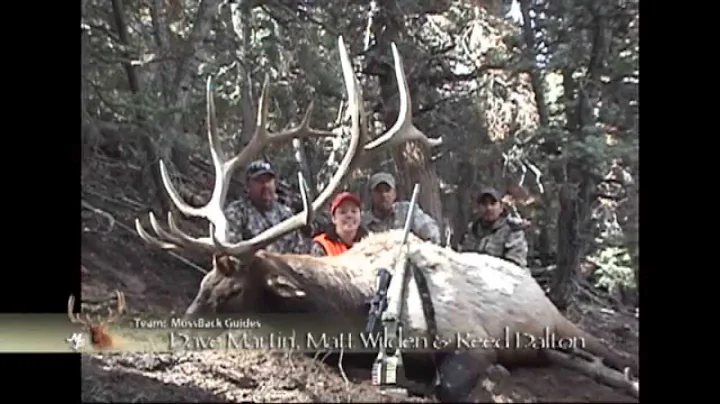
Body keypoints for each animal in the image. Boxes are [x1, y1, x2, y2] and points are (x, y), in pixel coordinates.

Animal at [134, 36, 639, 401]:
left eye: (232, 290)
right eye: (202, 284)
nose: (175, 330)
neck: (349, 307)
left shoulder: (471, 338)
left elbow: (447, 384)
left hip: (557, 320)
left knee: (609, 351)